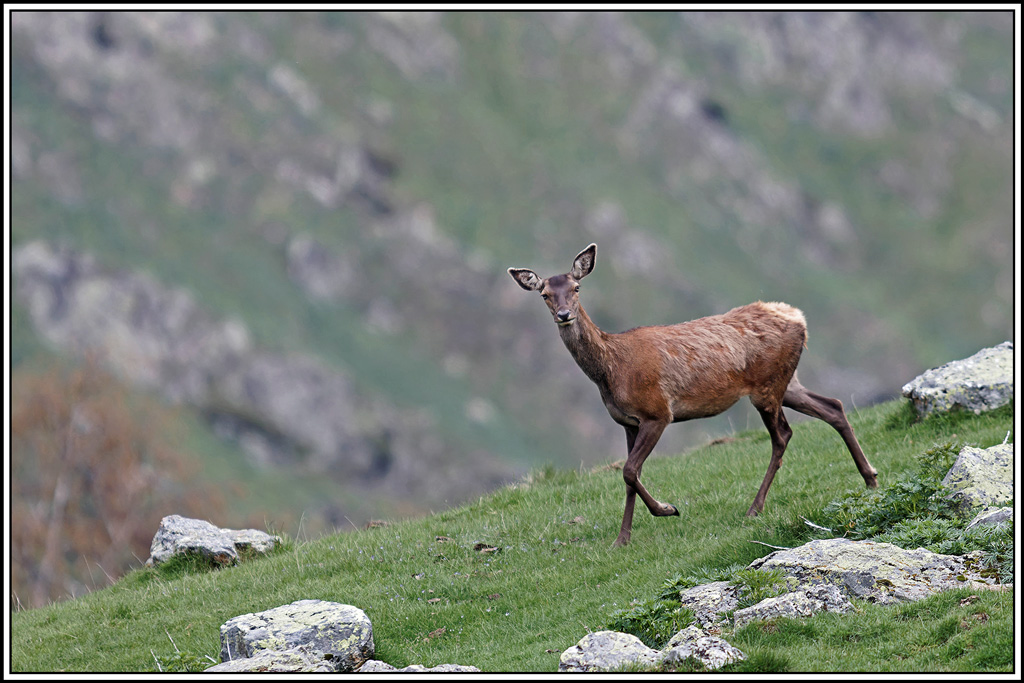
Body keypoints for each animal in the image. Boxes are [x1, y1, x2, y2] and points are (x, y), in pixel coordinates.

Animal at [508, 243, 879, 547]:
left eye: (576, 287)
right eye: (544, 294)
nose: (564, 315)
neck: (612, 372)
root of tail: (798, 317)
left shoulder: (658, 412)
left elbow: (629, 470)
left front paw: (667, 509)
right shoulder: (626, 422)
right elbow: (629, 476)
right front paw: (622, 539)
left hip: (766, 386)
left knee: (783, 435)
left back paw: (754, 508)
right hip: (788, 382)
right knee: (833, 406)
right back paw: (870, 478)